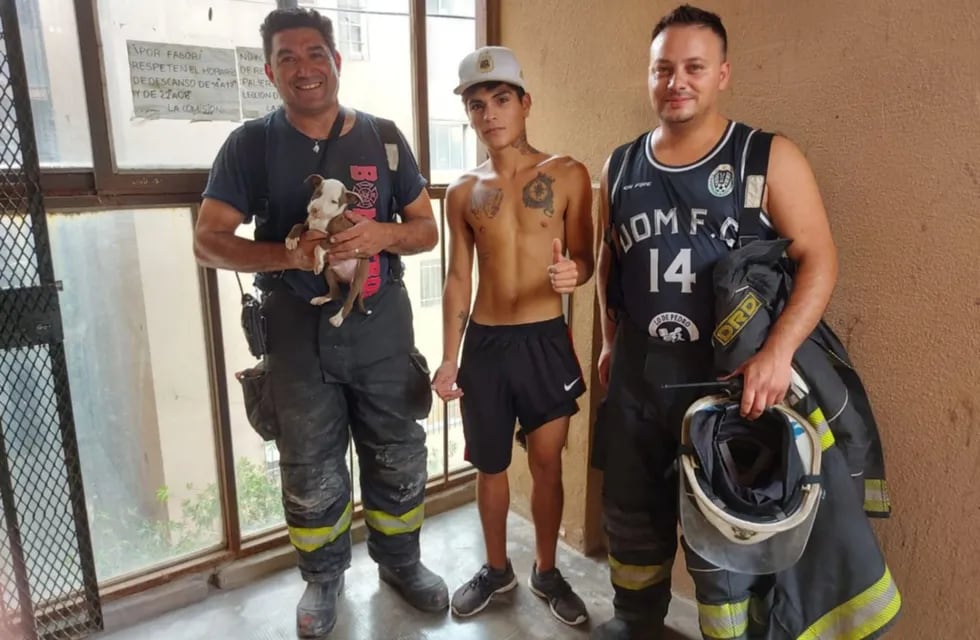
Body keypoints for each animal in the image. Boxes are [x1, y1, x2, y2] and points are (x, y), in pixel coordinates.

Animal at [290, 174, 374, 328]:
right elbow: (298, 224)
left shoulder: (340, 238)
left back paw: (337, 318)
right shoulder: (308, 225)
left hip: (359, 276)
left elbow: (320, 244)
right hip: (329, 272)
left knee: (349, 301)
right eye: (317, 194)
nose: (314, 209)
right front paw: (291, 239)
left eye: (334, 202)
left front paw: (317, 263)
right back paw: (321, 299)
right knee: (336, 293)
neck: (322, 220)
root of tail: (346, 278)